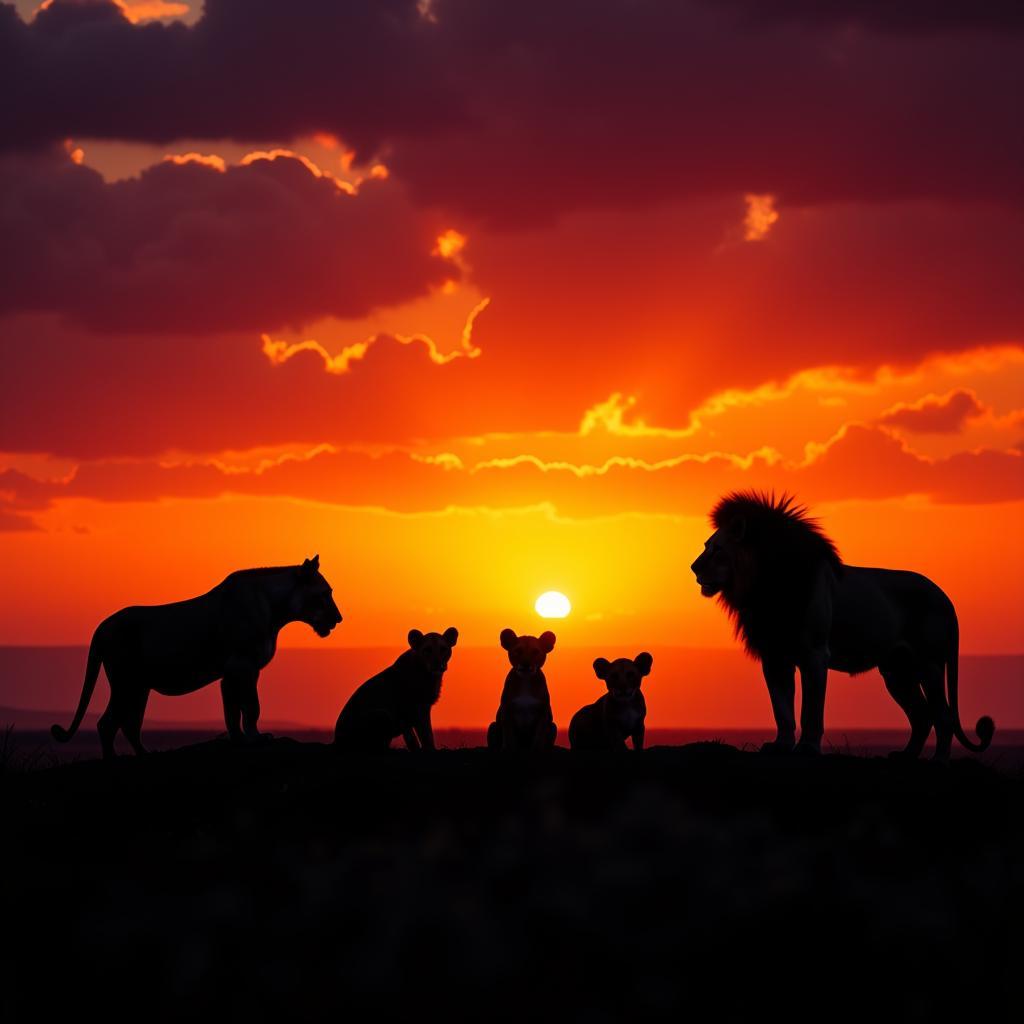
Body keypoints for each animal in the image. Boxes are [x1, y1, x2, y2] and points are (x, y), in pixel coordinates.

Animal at [52, 557, 339, 757]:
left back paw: (146, 754)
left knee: (129, 725)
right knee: (107, 724)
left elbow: (235, 710)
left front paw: (241, 739)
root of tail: (101, 627)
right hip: (126, 683)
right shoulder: (242, 666)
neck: (277, 610)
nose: (339, 618)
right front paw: (255, 739)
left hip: (139, 687)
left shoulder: (238, 672)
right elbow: (250, 707)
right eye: (324, 594)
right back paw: (113, 760)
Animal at [688, 491, 991, 757]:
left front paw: (807, 748)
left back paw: (938, 760)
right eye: (706, 546)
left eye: (717, 550)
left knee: (943, 717)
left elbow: (810, 711)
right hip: (897, 671)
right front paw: (781, 746)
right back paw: (906, 755)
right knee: (922, 715)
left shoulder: (814, 655)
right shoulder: (774, 656)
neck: (764, 587)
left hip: (928, 664)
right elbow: (782, 709)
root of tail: (945, 598)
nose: (693, 567)